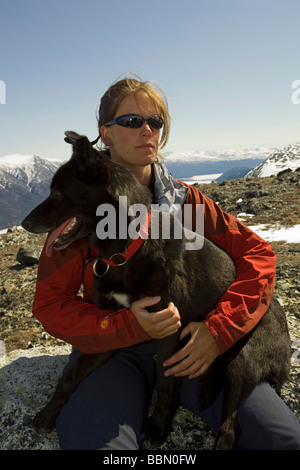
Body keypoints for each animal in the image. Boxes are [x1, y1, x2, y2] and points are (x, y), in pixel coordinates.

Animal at [22, 130, 290, 450]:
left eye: (57, 193)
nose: (23, 223)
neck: (125, 251)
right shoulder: (110, 333)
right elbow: (71, 376)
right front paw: (47, 414)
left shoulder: (169, 332)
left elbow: (165, 381)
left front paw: (160, 426)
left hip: (243, 359)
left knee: (229, 427)